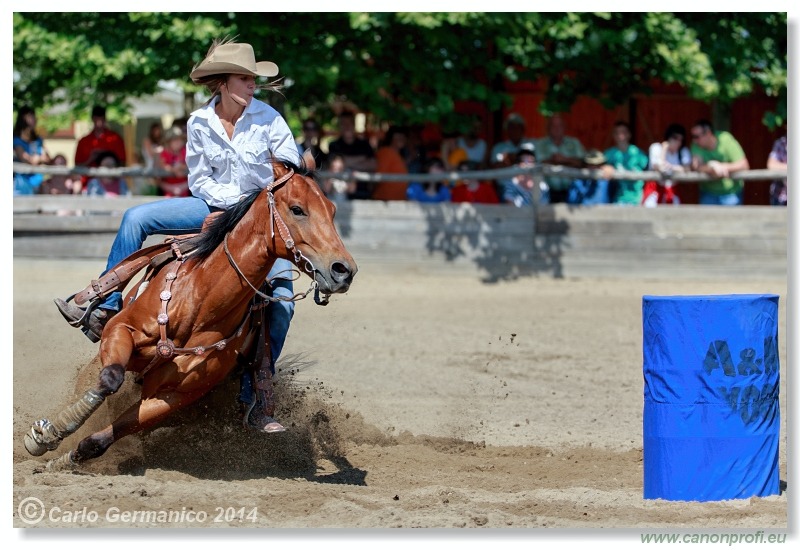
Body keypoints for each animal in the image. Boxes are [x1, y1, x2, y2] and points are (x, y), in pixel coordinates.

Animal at [24, 156, 356, 474]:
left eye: (332, 210)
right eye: (298, 209)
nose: (344, 270)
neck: (199, 303)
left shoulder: (176, 395)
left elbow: (103, 438)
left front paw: (65, 458)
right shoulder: (121, 330)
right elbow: (109, 379)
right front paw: (45, 435)